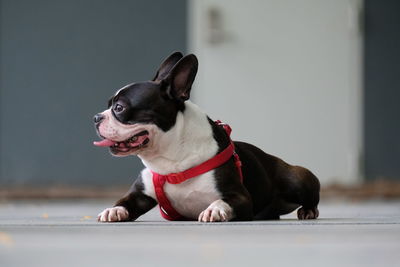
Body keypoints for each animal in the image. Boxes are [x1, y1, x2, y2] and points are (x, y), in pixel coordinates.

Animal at [93, 51, 318, 223]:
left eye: (119, 108)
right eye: (108, 105)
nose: (96, 117)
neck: (171, 159)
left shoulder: (242, 198)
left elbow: (222, 200)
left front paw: (214, 209)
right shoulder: (140, 194)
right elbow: (125, 201)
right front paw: (114, 210)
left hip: (297, 179)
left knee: (311, 196)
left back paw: (308, 210)